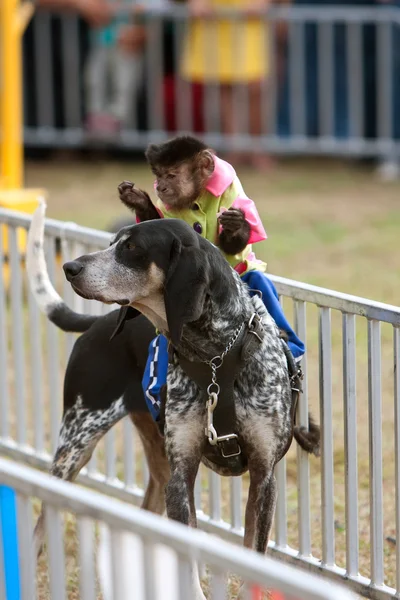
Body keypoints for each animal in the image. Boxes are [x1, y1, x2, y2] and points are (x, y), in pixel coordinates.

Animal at [26, 203, 318, 600]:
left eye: (131, 247)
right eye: (113, 242)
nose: (70, 267)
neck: (216, 358)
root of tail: (97, 324)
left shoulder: (263, 475)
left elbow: (253, 559)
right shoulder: (182, 476)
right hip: (74, 449)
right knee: (39, 528)